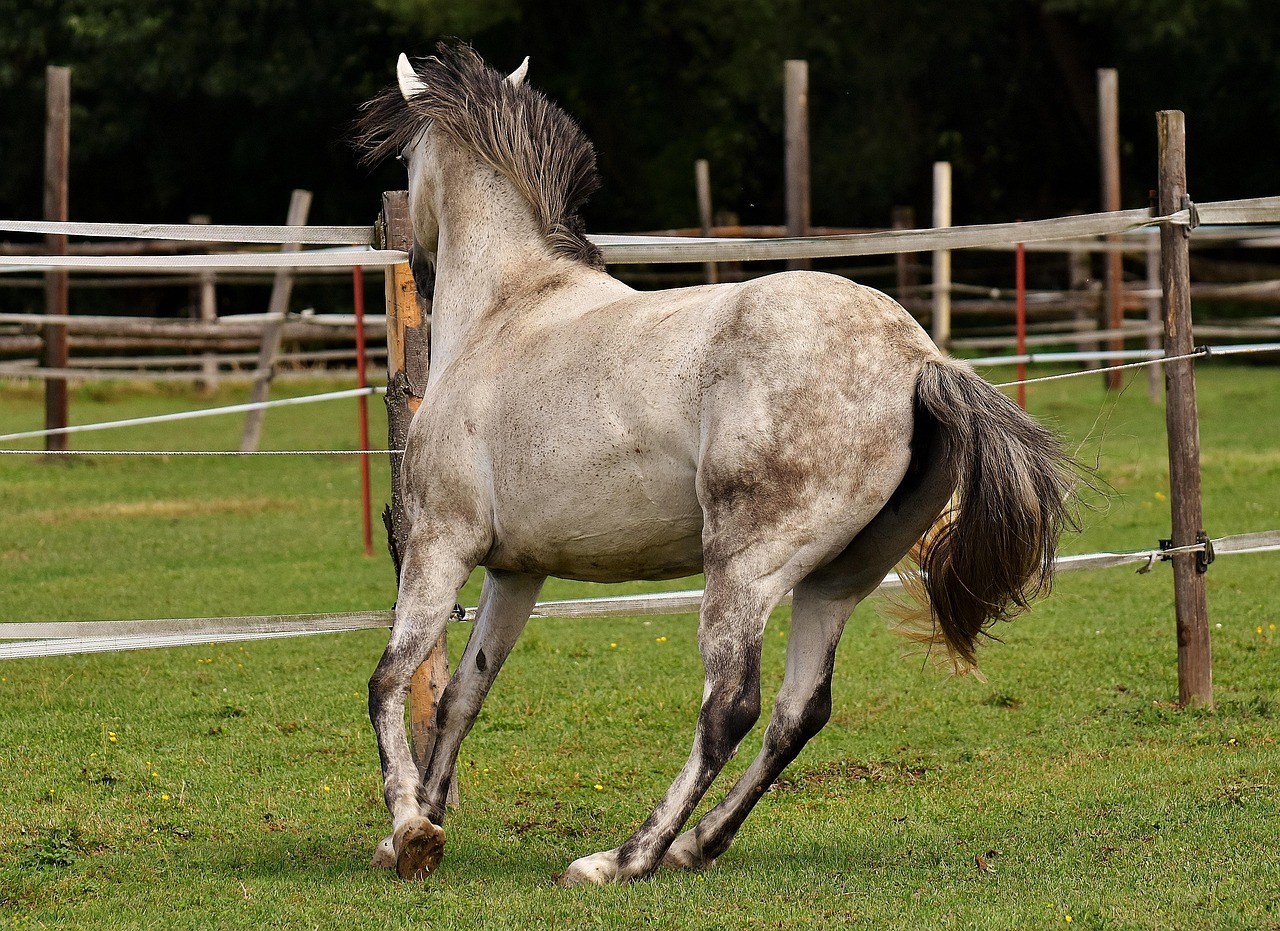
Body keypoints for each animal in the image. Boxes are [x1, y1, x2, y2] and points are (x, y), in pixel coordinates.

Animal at [355, 43, 1075, 886]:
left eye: (404, 159)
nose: (413, 255)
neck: (508, 312)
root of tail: (918, 358)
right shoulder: (517, 569)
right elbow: (466, 691)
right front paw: (426, 819)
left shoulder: (442, 541)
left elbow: (390, 677)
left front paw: (410, 830)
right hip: (836, 580)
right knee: (799, 712)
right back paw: (697, 843)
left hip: (744, 569)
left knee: (730, 705)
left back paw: (623, 856)